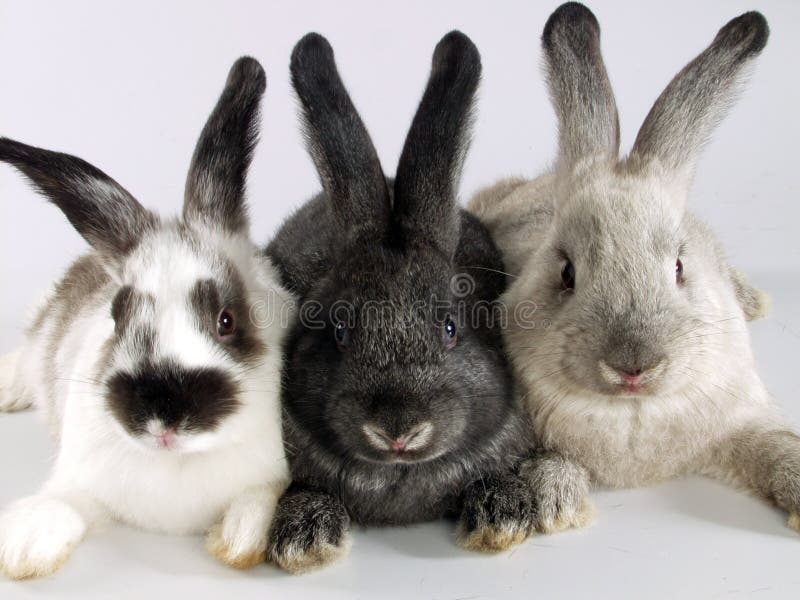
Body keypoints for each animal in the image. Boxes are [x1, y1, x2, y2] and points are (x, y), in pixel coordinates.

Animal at [0, 57, 293, 579]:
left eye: (226, 320)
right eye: (118, 317)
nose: (162, 418)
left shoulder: (272, 476)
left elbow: (257, 502)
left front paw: (238, 539)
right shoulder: (81, 478)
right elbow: (64, 503)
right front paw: (25, 548)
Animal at [467, 2, 796, 535]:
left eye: (680, 266)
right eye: (567, 273)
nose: (634, 366)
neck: (632, 412)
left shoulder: (743, 415)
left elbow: (776, 446)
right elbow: (550, 460)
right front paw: (555, 503)